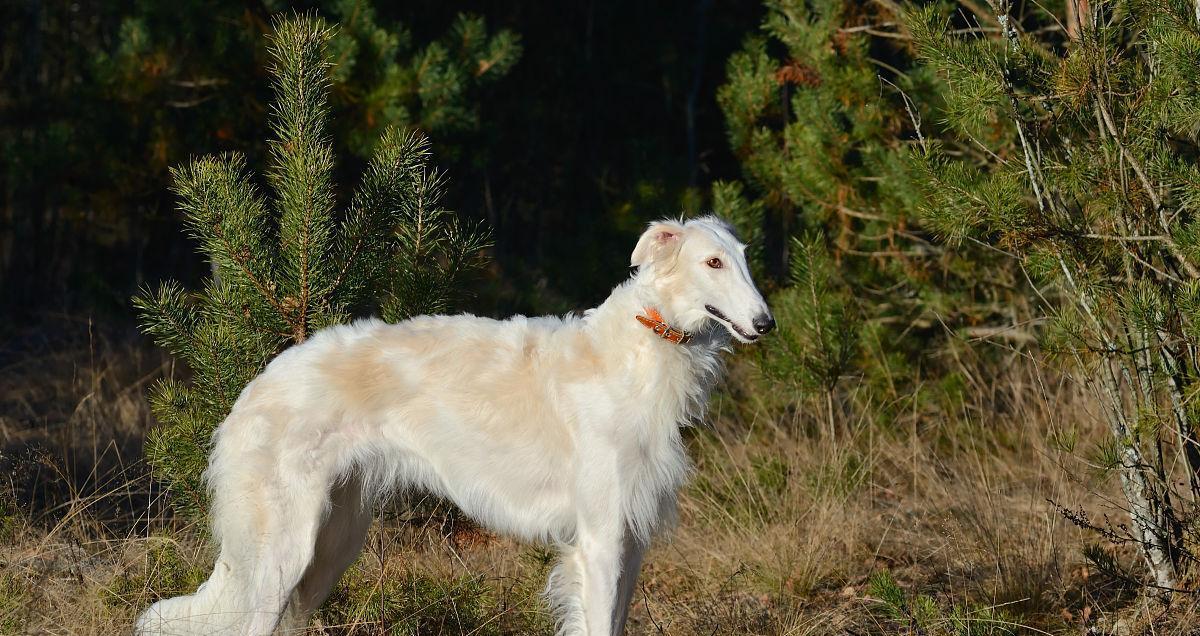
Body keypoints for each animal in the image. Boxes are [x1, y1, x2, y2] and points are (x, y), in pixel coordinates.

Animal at [131, 214, 768, 628]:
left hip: (331, 542)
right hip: (280, 551)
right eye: (712, 262)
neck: (640, 351)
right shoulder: (600, 539)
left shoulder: (630, 540)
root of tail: (254, 388)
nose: (767, 323)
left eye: (742, 259)